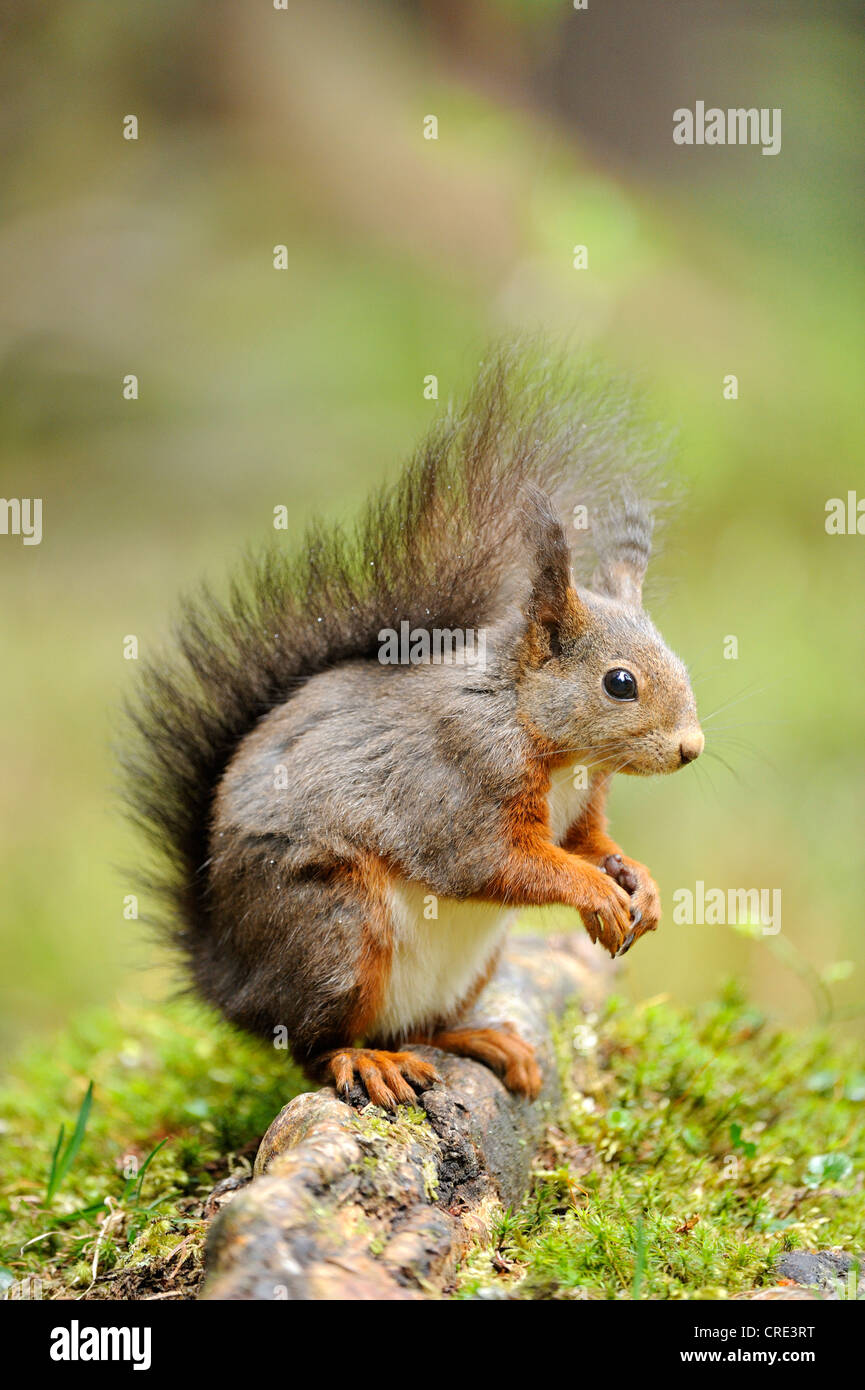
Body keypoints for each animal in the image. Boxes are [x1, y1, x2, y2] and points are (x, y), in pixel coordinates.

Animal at [127, 348, 703, 1111]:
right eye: (619, 683)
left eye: (680, 661)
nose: (690, 749)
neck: (537, 730)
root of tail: (231, 981)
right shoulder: (461, 780)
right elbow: (496, 863)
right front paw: (595, 892)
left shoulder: (583, 806)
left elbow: (588, 844)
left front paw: (638, 880)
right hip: (337, 932)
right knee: (314, 1045)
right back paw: (364, 1061)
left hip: (462, 967)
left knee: (416, 1028)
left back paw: (477, 1040)